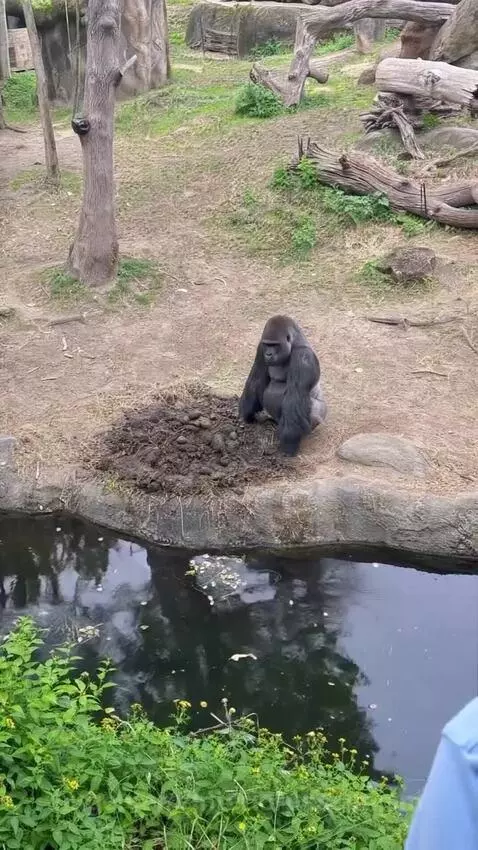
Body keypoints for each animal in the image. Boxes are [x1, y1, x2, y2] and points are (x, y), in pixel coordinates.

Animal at [239, 315, 327, 457]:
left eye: (275, 345)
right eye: (267, 344)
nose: (268, 354)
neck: (294, 343)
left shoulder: (303, 357)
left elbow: (295, 398)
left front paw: (288, 446)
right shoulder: (260, 348)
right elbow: (256, 379)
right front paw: (246, 415)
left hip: (319, 417)